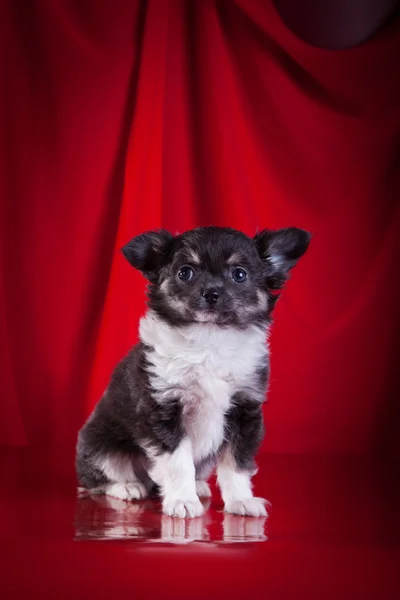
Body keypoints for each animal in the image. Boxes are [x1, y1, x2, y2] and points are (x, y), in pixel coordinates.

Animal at [76, 227, 310, 516]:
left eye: (239, 274)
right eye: (185, 272)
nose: (211, 293)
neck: (209, 338)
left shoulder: (245, 410)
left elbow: (237, 463)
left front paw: (240, 499)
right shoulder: (163, 410)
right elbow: (178, 463)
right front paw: (181, 500)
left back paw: (197, 486)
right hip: (99, 447)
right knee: (98, 477)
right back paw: (127, 487)